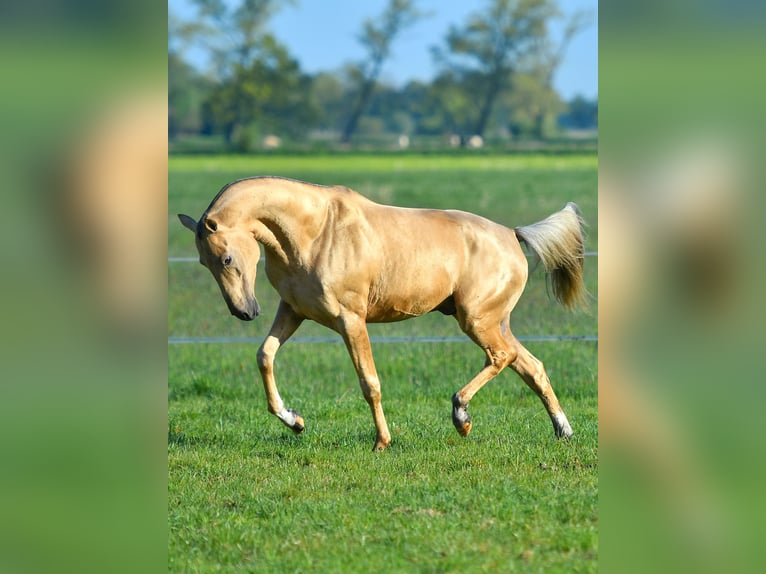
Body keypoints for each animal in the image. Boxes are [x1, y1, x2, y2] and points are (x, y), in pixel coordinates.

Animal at [178, 176, 587, 451]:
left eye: (225, 258)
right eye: (202, 262)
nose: (244, 312)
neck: (314, 232)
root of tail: (513, 235)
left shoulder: (350, 320)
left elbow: (369, 383)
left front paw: (382, 442)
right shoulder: (293, 311)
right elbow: (265, 356)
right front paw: (294, 421)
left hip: (476, 320)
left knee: (503, 357)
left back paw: (461, 417)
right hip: (493, 321)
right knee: (530, 365)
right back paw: (563, 431)